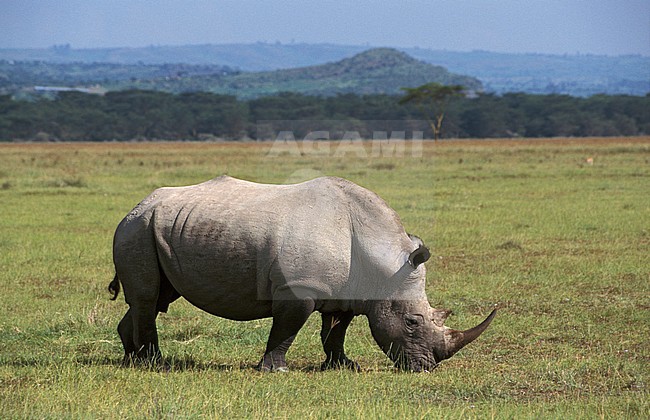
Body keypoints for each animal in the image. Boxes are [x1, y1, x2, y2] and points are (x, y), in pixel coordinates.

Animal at [109, 175, 495, 372]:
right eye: (413, 322)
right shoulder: (299, 288)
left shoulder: (347, 290)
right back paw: (155, 364)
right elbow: (286, 330)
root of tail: (135, 206)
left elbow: (335, 331)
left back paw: (131, 359)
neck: (383, 262)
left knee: (156, 297)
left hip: (158, 227)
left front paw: (343, 366)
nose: (427, 367)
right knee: (148, 298)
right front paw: (275, 370)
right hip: (137, 229)